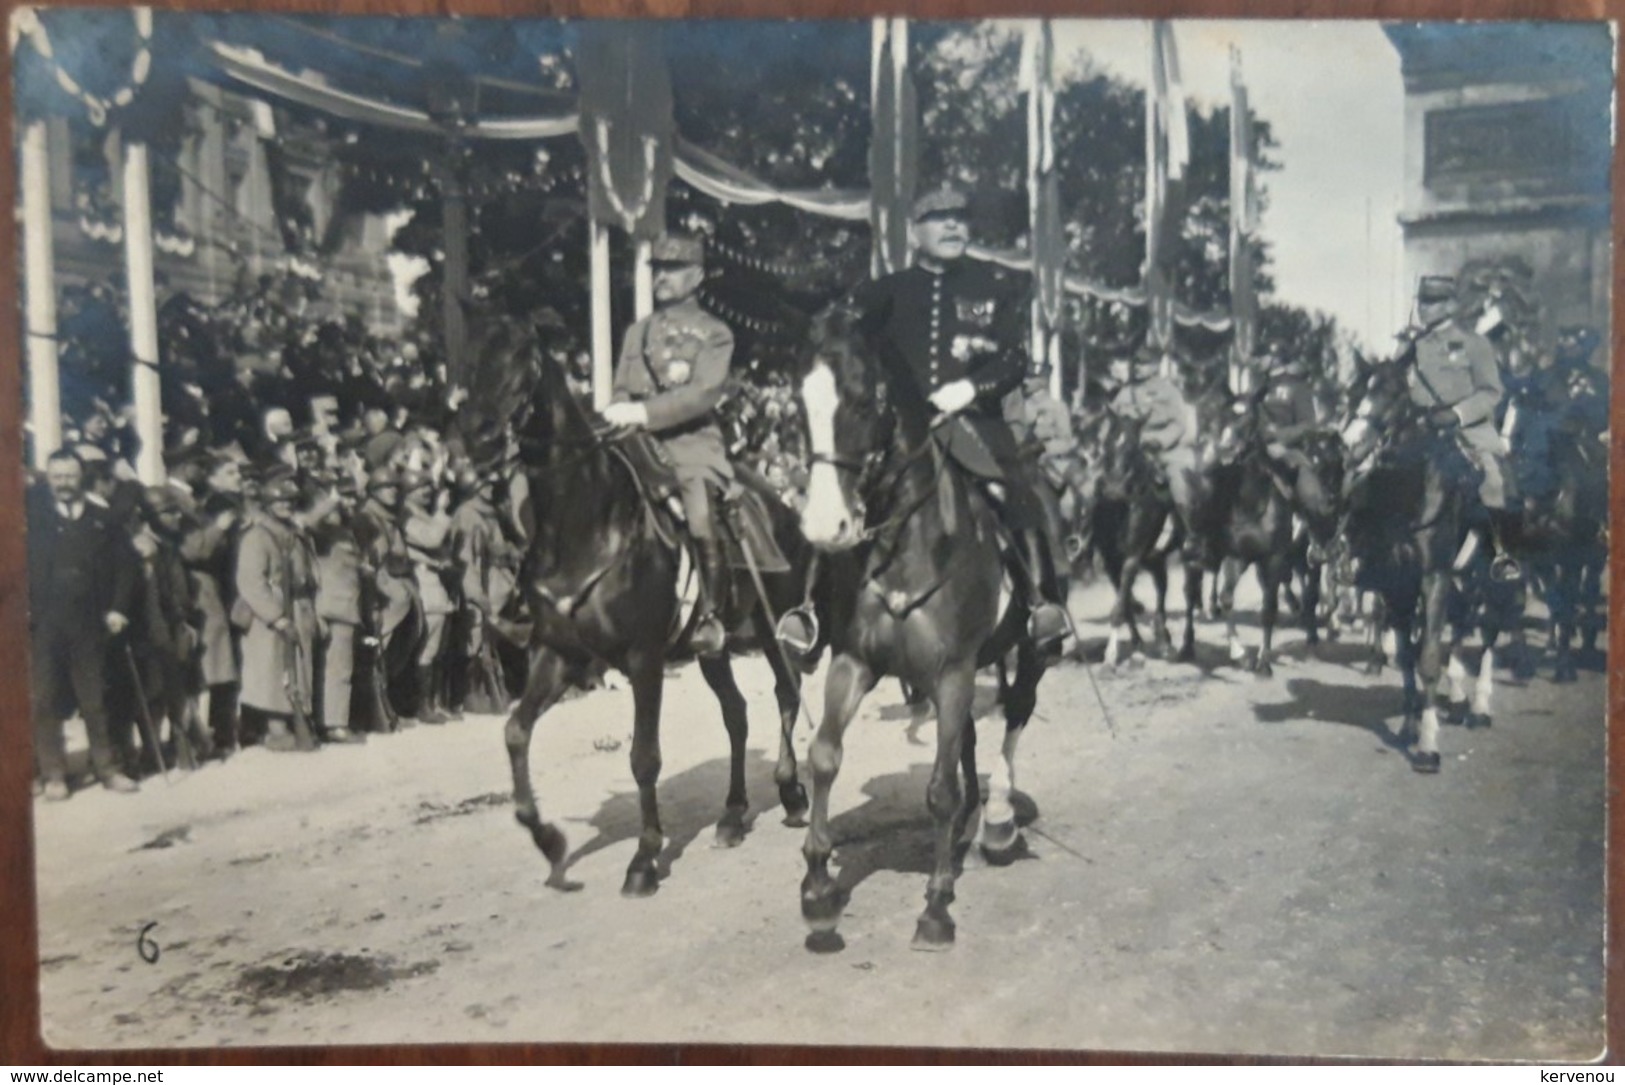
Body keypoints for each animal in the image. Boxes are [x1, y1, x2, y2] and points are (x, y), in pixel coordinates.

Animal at [490, 318, 812, 896]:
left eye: (519, 368)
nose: (472, 441)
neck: (587, 524)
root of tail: (779, 502)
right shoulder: (557, 654)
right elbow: (516, 732)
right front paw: (550, 844)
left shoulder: (644, 659)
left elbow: (644, 757)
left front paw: (643, 859)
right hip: (713, 649)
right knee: (736, 713)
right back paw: (732, 816)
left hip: (773, 629)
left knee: (786, 692)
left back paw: (792, 793)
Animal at [793, 305, 1059, 948]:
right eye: (799, 401)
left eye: (864, 399)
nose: (826, 527)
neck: (906, 542)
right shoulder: (854, 662)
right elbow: (825, 756)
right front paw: (818, 891)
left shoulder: (953, 669)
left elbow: (938, 788)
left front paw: (936, 906)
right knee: (967, 739)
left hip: (1028, 652)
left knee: (1014, 717)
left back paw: (996, 820)